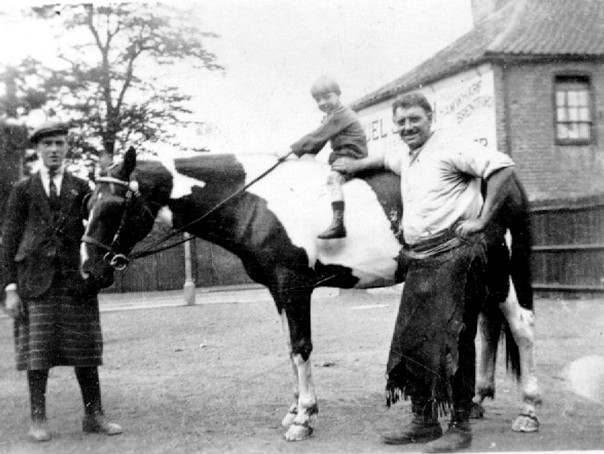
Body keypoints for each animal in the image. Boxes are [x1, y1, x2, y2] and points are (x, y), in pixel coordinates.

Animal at [81, 148, 544, 440]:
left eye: (114, 205)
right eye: (88, 202)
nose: (89, 269)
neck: (255, 201)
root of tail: (503, 179)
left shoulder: (294, 287)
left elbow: (301, 348)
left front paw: (303, 418)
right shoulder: (278, 292)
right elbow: (290, 350)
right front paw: (295, 409)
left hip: (501, 275)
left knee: (522, 329)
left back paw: (528, 410)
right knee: (486, 328)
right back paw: (480, 400)